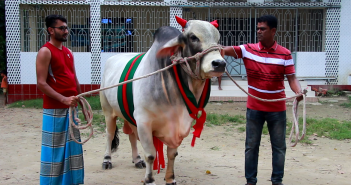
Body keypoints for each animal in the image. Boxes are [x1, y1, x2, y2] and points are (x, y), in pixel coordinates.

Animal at [100, 16, 227, 184]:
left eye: (218, 39)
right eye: (193, 37)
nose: (219, 63)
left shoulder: (176, 127)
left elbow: (172, 155)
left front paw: (170, 179)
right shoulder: (144, 122)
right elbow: (151, 155)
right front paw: (149, 180)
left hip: (129, 116)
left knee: (131, 136)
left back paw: (137, 159)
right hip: (108, 111)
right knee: (109, 134)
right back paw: (107, 160)